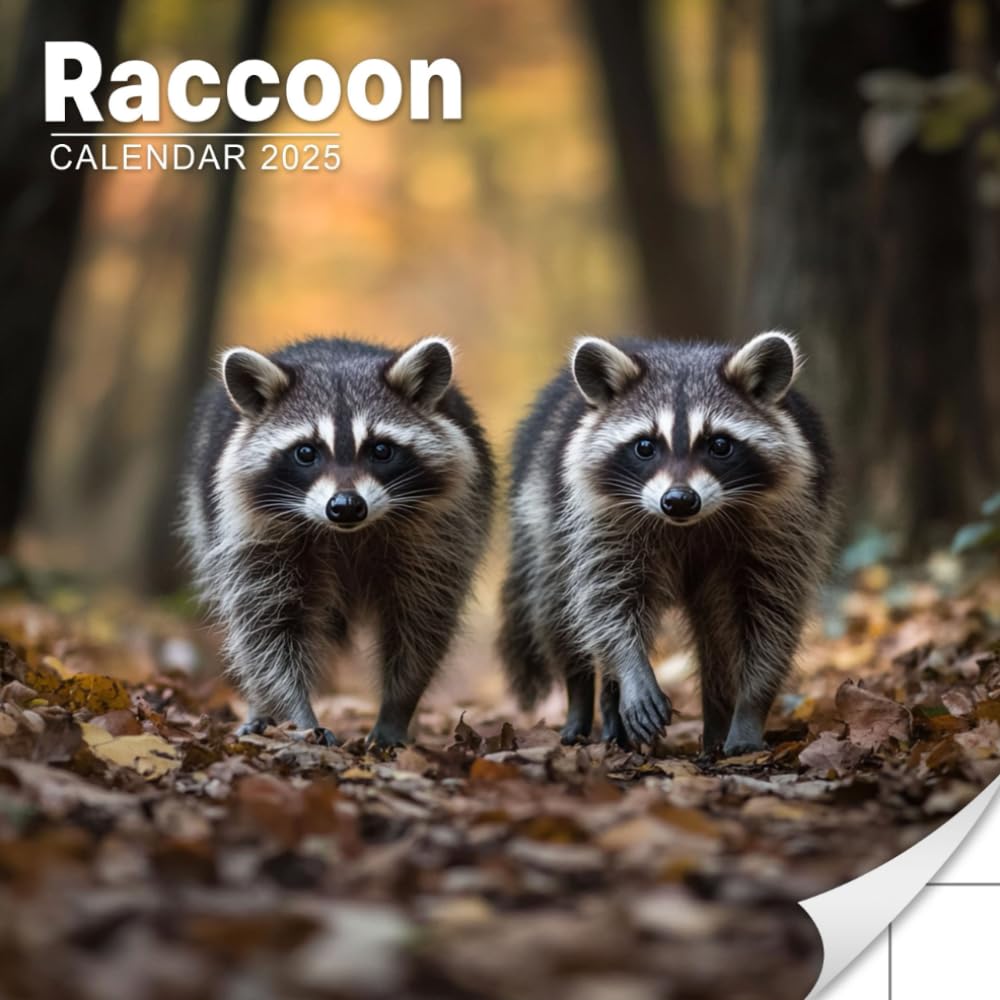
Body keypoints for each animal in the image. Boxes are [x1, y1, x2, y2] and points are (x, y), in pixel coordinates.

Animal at [181, 336, 495, 748]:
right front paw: (297, 714)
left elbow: (420, 621)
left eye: (381, 450)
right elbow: (268, 627)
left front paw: (396, 709)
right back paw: (259, 706)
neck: (346, 534)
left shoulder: (440, 533)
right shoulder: (252, 533)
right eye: (305, 452)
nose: (345, 506)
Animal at [499, 332, 835, 756]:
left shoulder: (784, 522)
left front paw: (749, 709)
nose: (679, 500)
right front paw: (631, 671)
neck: (689, 523)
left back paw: (714, 722)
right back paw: (586, 699)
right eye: (645, 446)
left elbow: (771, 617)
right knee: (556, 607)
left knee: (717, 635)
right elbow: (606, 599)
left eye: (719, 444)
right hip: (544, 517)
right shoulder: (598, 517)